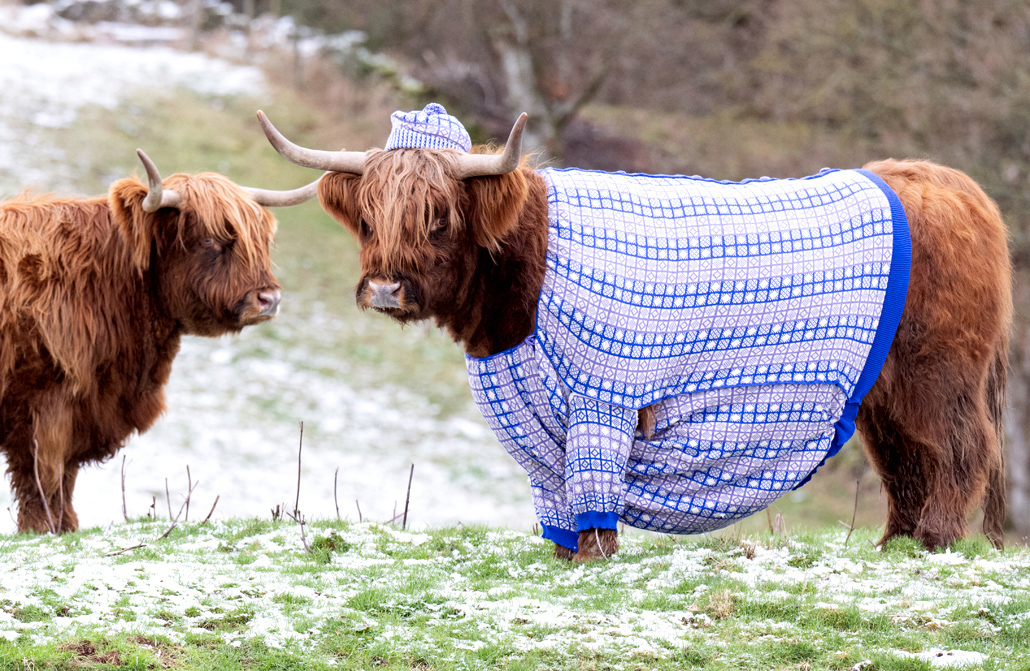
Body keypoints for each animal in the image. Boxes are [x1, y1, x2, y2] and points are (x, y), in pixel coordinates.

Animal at [0, 150, 318, 533]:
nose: (269, 299)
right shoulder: (44, 406)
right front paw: (42, 529)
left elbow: (65, 478)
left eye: (260, 240)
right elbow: (43, 483)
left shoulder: (80, 411)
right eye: (209, 239)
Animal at [258, 104, 1011, 561]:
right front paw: (562, 553)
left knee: (961, 447)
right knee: (906, 460)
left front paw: (594, 554)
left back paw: (936, 539)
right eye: (369, 216)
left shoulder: (603, 400)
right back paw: (896, 545)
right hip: (879, 387)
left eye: (438, 216)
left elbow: (593, 487)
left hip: (938, 370)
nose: (385, 287)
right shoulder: (537, 415)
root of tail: (951, 183)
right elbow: (556, 492)